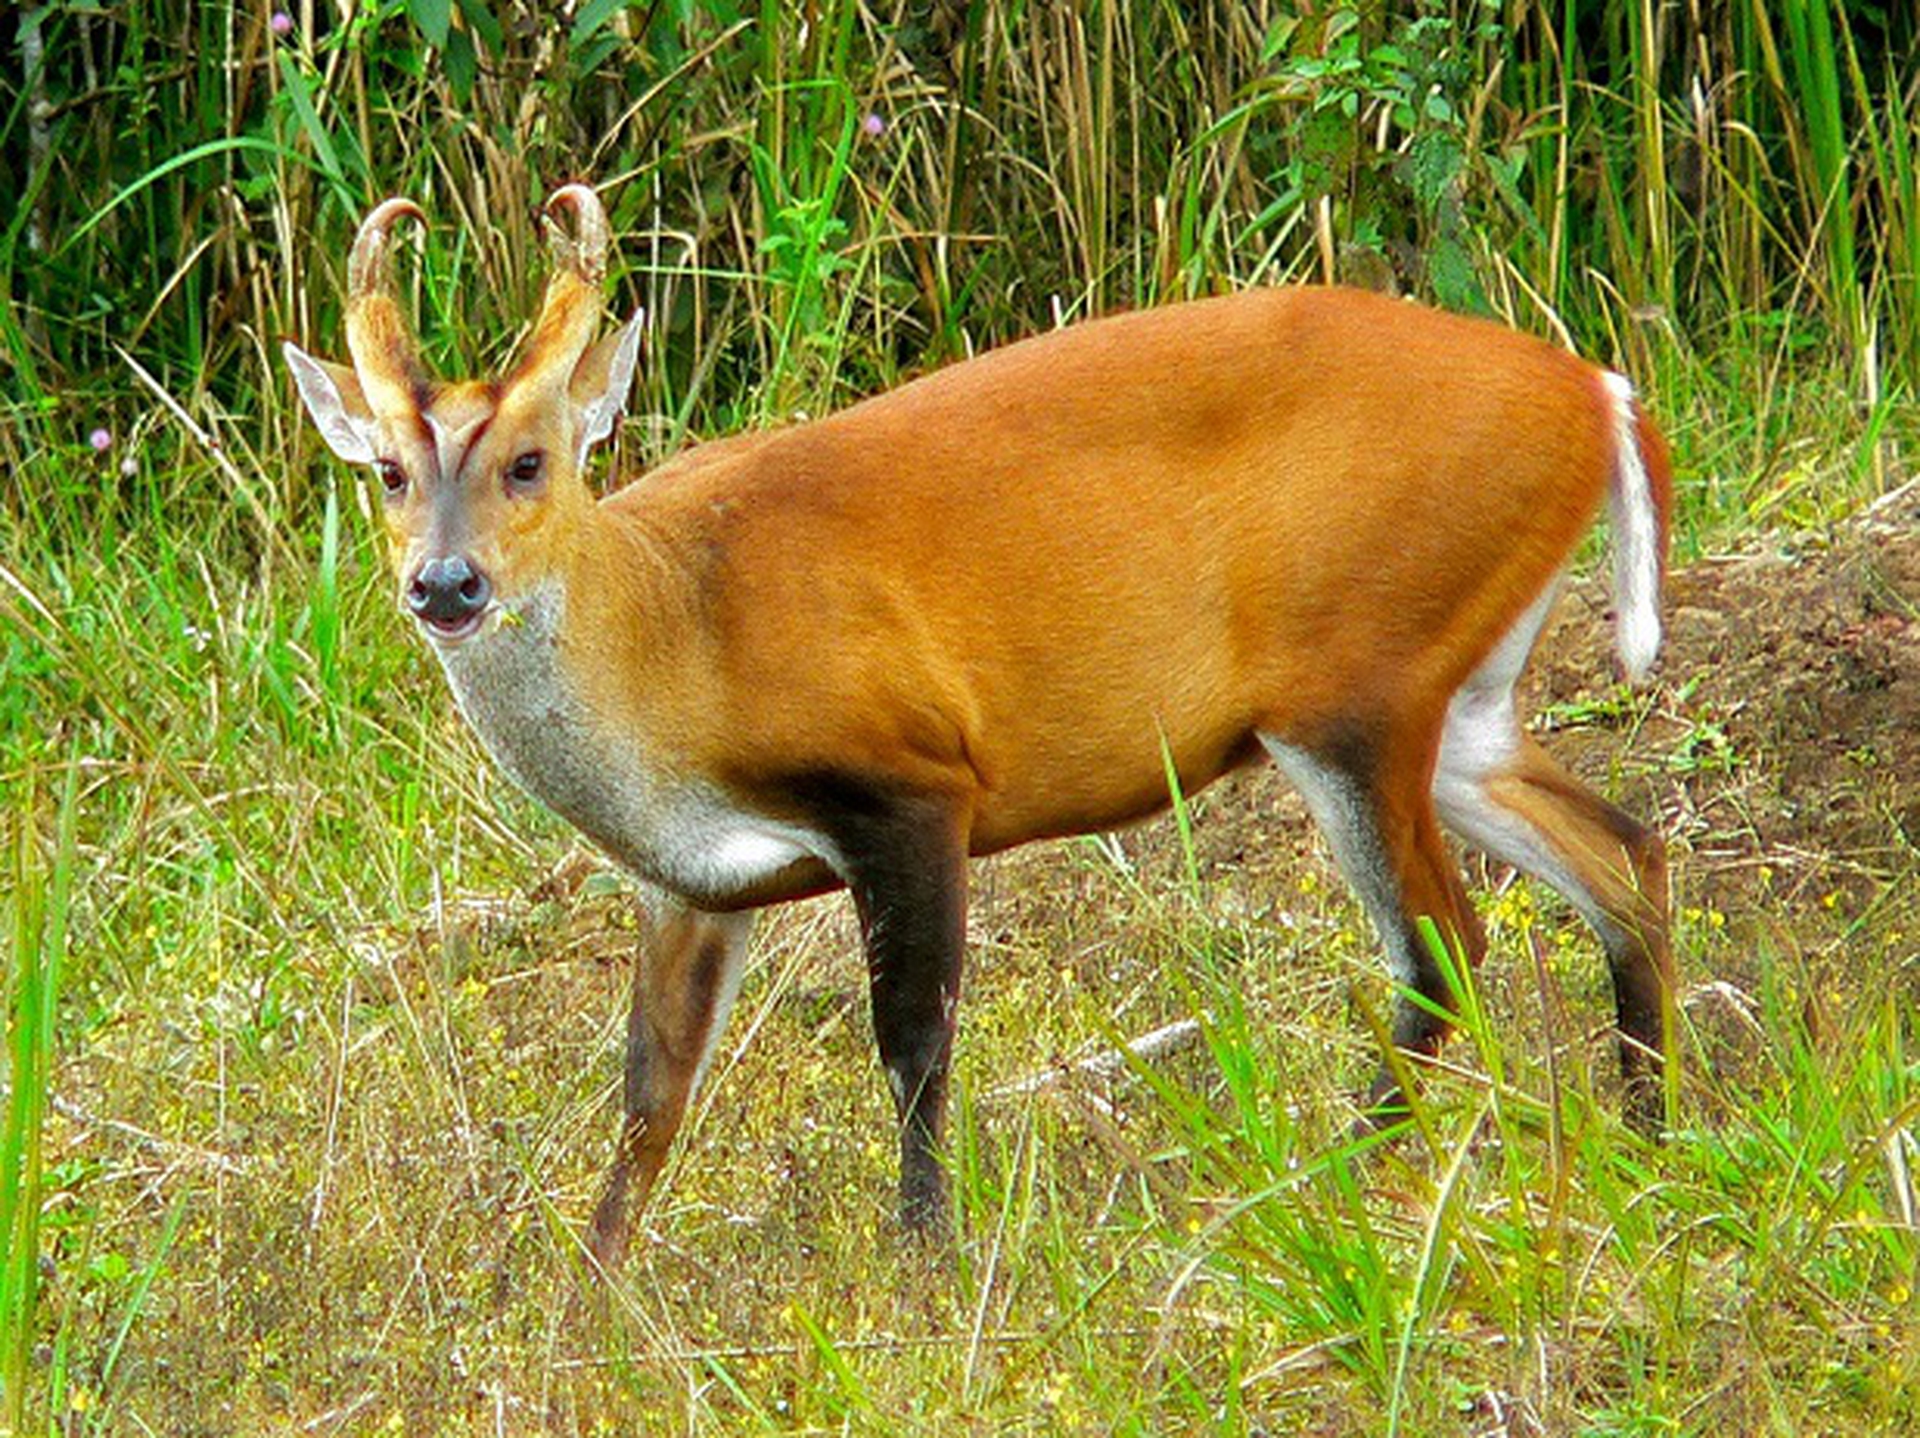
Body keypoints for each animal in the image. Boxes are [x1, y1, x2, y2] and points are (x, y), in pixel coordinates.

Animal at [278, 182, 1674, 1267]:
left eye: (531, 462)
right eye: (388, 473)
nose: (445, 585)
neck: (676, 636)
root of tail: (1596, 390)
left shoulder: (910, 780)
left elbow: (913, 1040)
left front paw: (923, 1254)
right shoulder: (690, 883)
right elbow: (649, 1096)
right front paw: (593, 1293)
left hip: (1356, 675)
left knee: (1447, 941)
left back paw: (1320, 1185)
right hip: (1457, 693)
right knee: (1621, 850)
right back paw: (1650, 1132)